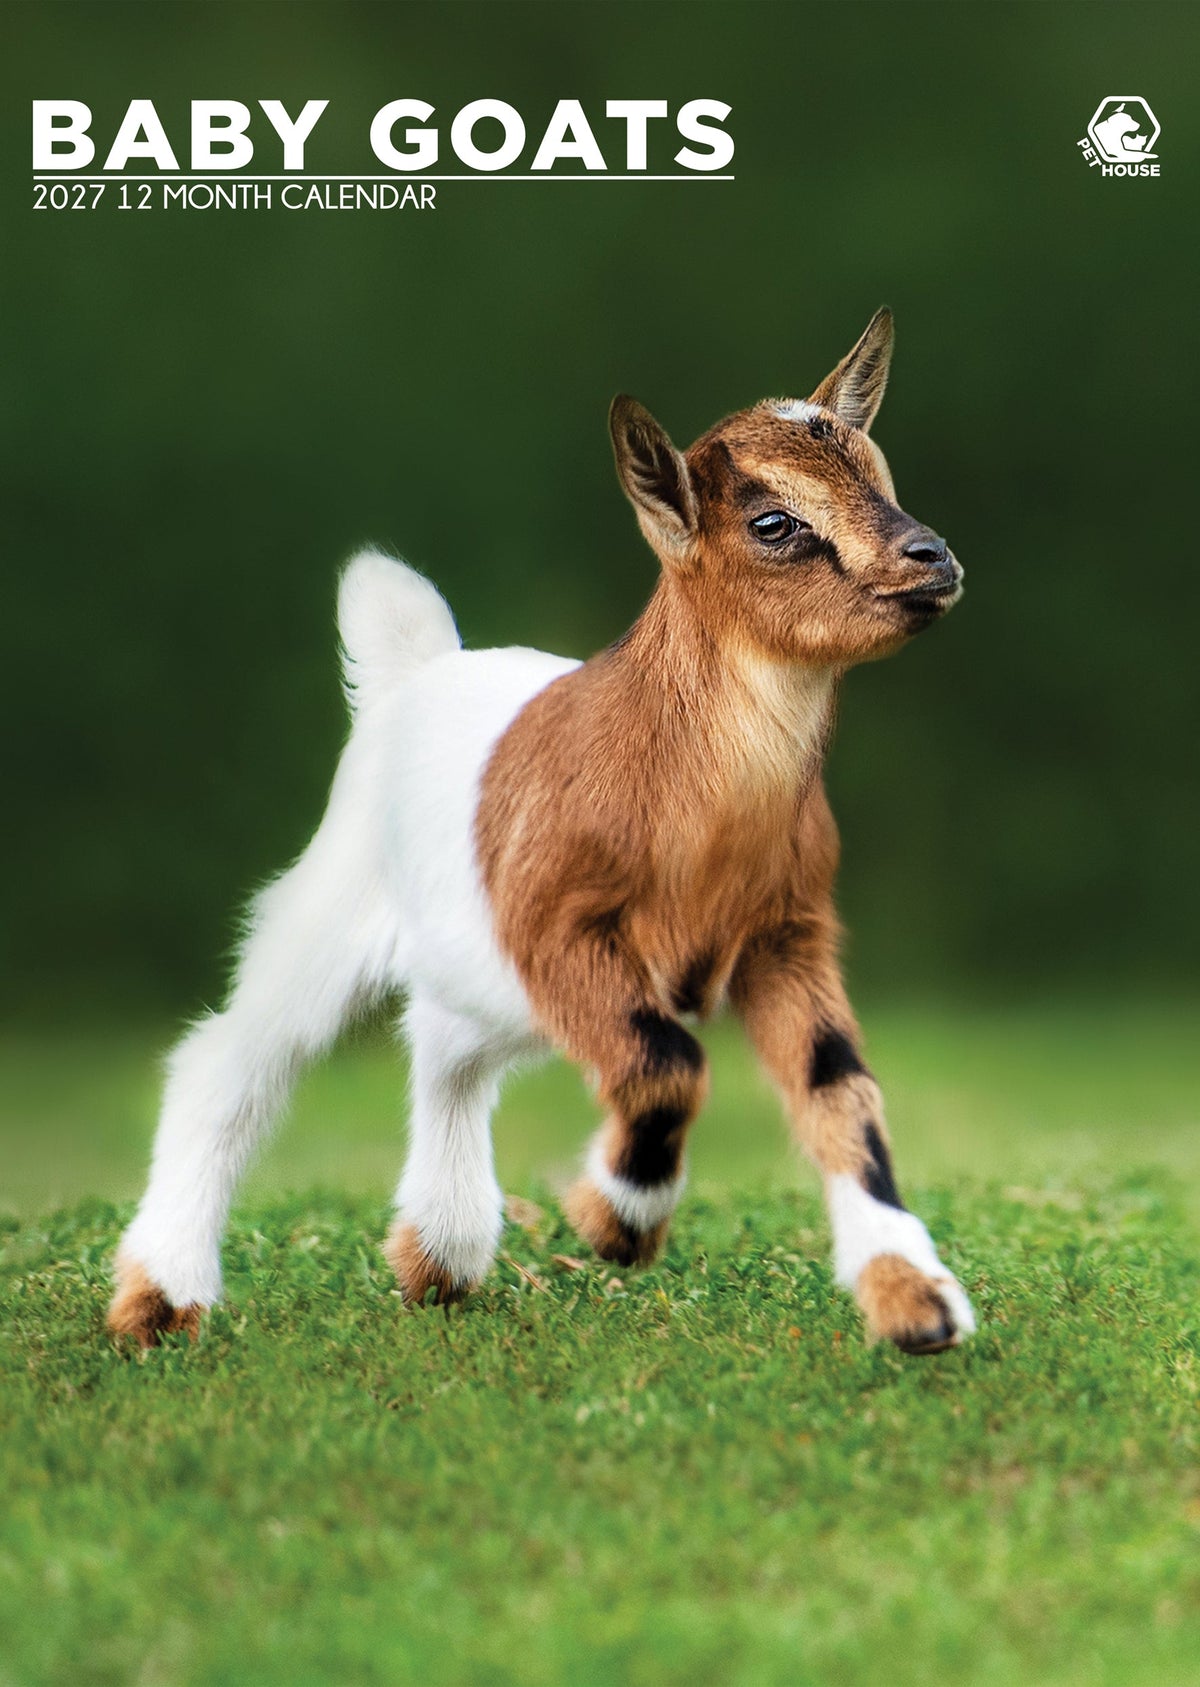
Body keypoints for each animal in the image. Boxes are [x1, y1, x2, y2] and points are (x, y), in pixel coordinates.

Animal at [108, 308, 975, 1356]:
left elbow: (841, 1092)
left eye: (882, 476)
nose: (934, 558)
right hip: (333, 911)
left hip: (484, 975)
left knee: (442, 1045)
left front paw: (917, 1304)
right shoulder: (558, 927)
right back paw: (161, 1300)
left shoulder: (785, 936)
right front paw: (615, 1223)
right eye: (774, 523)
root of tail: (414, 671)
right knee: (230, 1061)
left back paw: (438, 1258)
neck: (691, 803)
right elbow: (667, 1063)